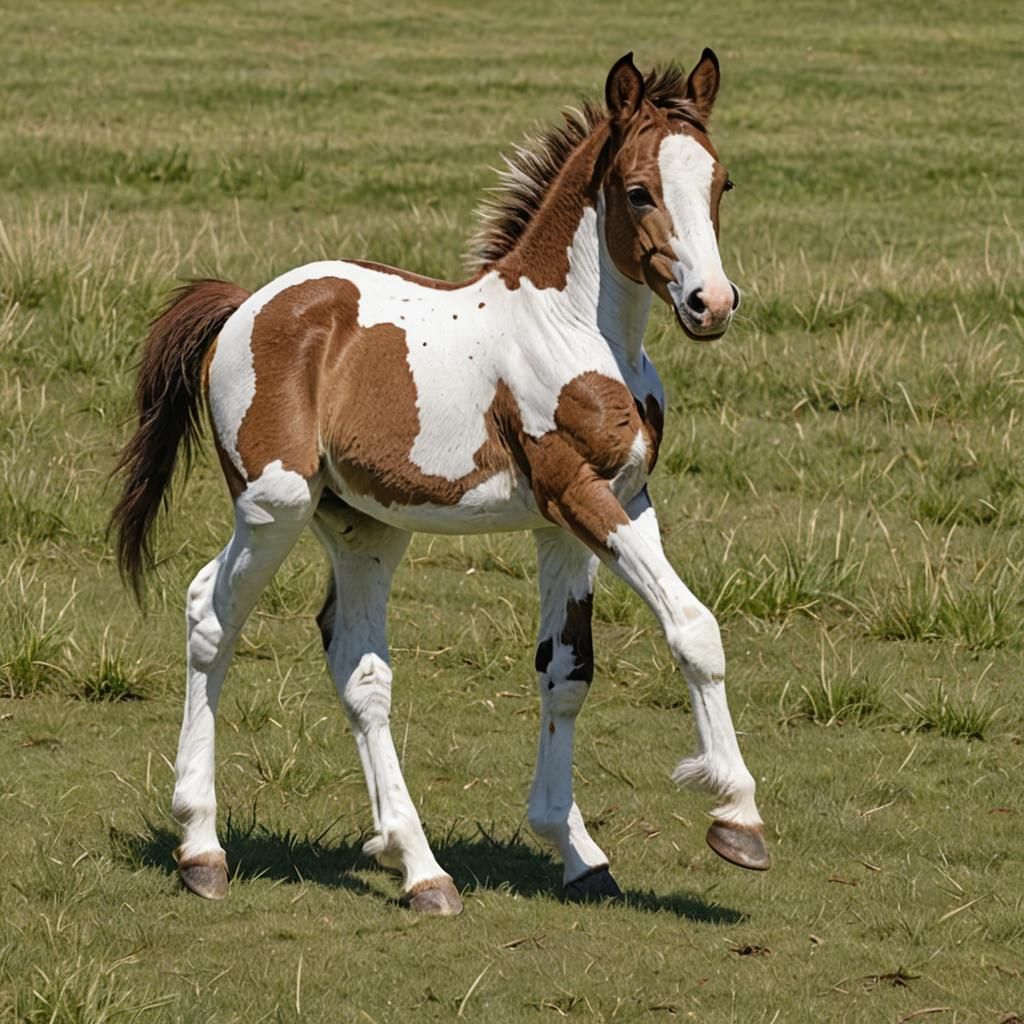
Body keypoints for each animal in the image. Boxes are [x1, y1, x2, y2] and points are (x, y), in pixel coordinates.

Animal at [111, 50, 769, 916]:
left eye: (722, 183)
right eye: (637, 191)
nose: (711, 304)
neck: (577, 329)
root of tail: (245, 304)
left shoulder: (602, 509)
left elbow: (567, 670)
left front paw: (575, 851)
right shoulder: (577, 494)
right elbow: (693, 627)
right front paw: (737, 817)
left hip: (362, 526)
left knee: (358, 665)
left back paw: (420, 868)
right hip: (275, 504)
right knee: (210, 617)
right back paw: (200, 849)